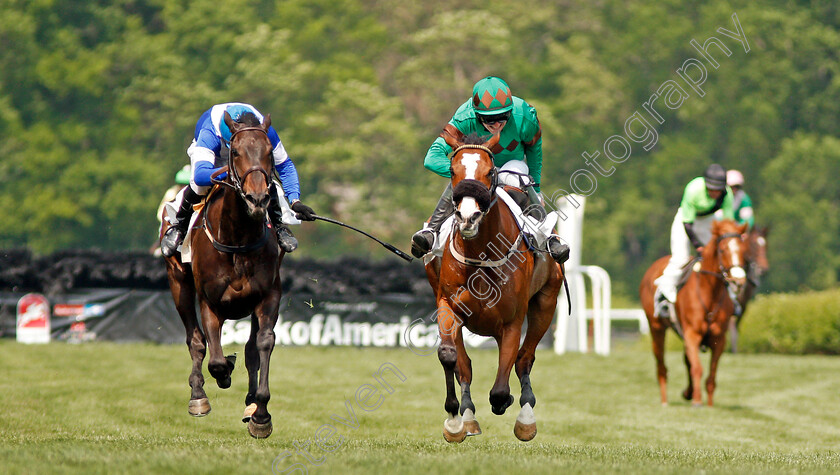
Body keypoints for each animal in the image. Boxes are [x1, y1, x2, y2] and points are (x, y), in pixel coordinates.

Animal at [162, 111, 284, 438]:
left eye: (269, 152)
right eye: (237, 152)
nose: (258, 199)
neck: (238, 239)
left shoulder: (268, 296)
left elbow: (262, 344)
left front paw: (260, 413)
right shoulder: (210, 301)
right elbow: (214, 357)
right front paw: (222, 373)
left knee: (250, 349)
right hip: (178, 283)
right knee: (195, 340)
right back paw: (198, 395)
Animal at [426, 132, 564, 444]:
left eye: (490, 172)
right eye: (452, 170)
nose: (467, 218)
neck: (481, 254)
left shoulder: (513, 319)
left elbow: (502, 387)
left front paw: (508, 405)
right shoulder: (448, 305)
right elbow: (451, 357)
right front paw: (454, 420)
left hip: (546, 304)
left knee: (524, 359)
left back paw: (526, 418)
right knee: (467, 365)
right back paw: (468, 417)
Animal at [640, 221, 752, 408]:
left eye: (744, 250)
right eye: (722, 250)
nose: (738, 281)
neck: (710, 293)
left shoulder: (718, 338)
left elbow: (711, 375)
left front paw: (708, 403)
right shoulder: (692, 333)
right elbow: (697, 368)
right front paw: (698, 401)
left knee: (686, 360)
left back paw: (688, 392)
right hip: (656, 328)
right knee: (661, 366)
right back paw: (665, 401)